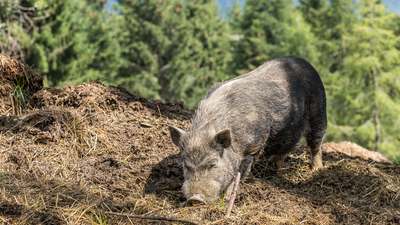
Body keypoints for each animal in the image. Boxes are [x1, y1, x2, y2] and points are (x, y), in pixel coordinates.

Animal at [167, 55, 326, 205]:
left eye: (213, 164)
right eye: (185, 166)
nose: (195, 199)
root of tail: (305, 62)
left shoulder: (252, 145)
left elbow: (240, 171)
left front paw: (229, 196)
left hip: (318, 114)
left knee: (316, 144)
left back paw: (316, 169)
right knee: (286, 148)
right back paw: (274, 167)